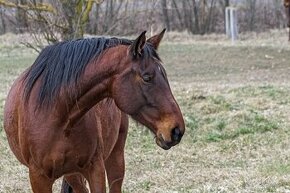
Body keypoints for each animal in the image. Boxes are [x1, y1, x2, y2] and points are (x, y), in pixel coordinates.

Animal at [3, 29, 185, 193]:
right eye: (147, 77)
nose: (177, 130)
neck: (57, 116)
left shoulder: (95, 169)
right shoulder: (38, 178)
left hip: (114, 159)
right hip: (72, 174)